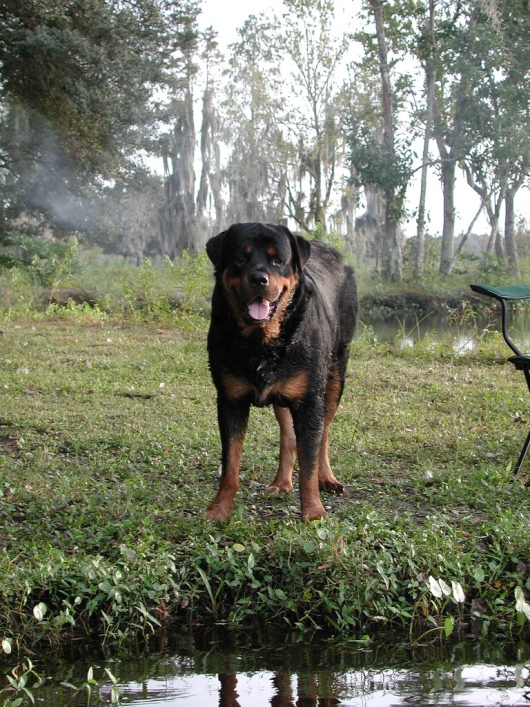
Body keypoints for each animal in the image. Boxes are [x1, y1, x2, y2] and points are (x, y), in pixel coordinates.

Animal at [204, 224, 356, 524]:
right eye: (240, 258)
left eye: (278, 260)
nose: (259, 279)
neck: (262, 342)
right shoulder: (229, 400)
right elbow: (230, 464)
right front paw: (219, 508)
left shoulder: (309, 402)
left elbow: (309, 463)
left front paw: (313, 513)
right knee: (289, 436)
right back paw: (281, 482)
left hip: (336, 374)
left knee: (324, 433)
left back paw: (327, 477)